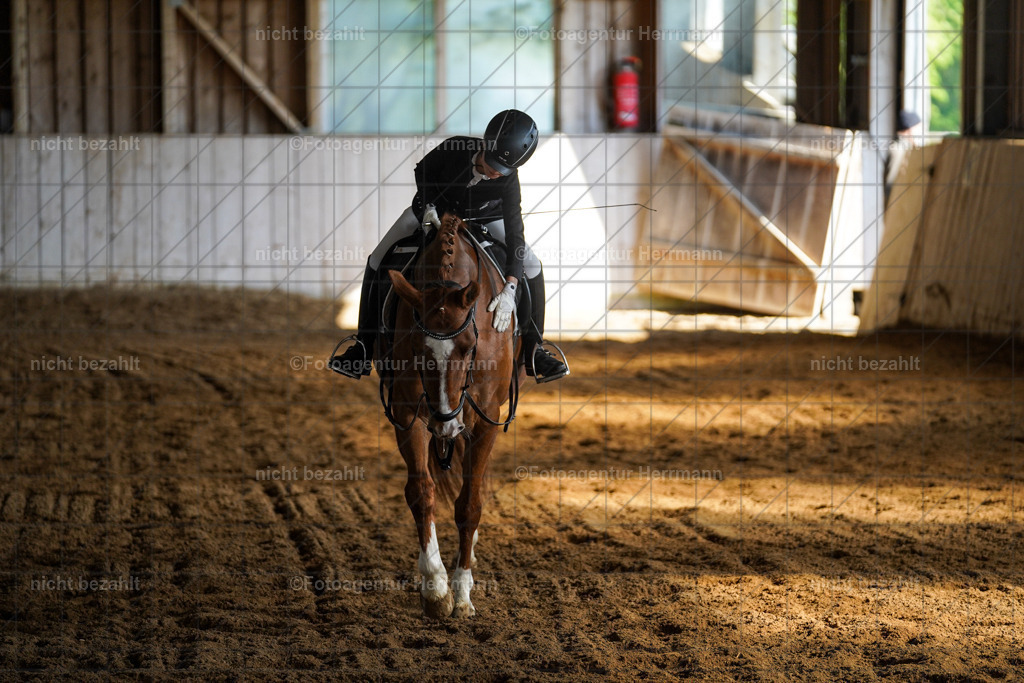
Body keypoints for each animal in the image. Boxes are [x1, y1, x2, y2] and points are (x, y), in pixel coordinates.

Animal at [382, 213, 522, 619]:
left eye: (470, 345)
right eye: (416, 346)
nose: (446, 422)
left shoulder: (486, 418)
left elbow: (470, 504)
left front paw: (461, 593)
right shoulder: (408, 414)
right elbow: (421, 492)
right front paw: (435, 588)